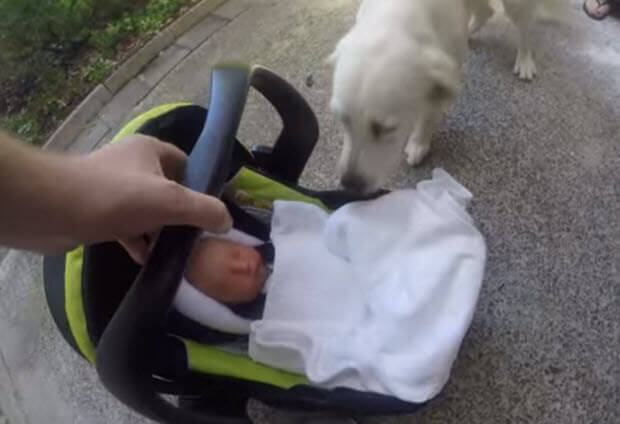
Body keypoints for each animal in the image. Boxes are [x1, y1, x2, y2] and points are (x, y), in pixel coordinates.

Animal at [332, 0, 568, 192]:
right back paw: (471, 31)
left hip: (516, 6)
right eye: (343, 120)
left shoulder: (444, 70)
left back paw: (525, 60)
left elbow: (428, 113)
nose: (349, 183)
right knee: (486, 11)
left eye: (387, 129)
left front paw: (418, 143)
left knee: (525, 28)